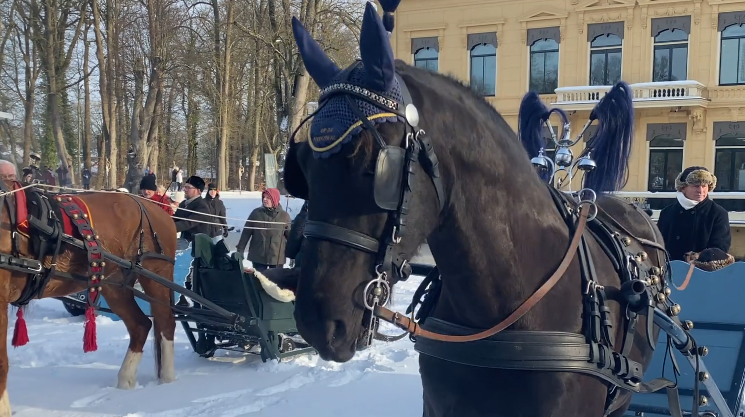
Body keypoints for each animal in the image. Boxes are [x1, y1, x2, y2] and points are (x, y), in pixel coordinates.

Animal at [0, 185, 177, 416]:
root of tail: (160, 211)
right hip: (115, 285)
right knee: (141, 325)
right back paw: (125, 381)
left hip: (156, 276)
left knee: (165, 322)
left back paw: (167, 381)